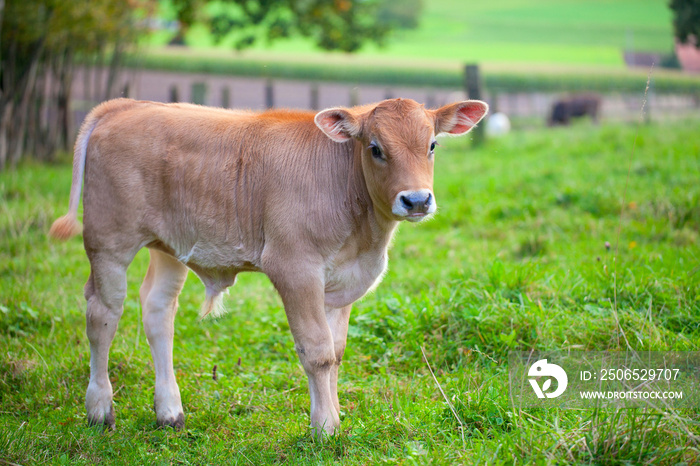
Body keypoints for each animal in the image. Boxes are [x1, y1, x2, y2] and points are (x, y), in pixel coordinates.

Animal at [50, 96, 486, 436]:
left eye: (432, 145)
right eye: (376, 148)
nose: (416, 200)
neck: (363, 234)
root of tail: (125, 105)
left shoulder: (341, 281)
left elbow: (336, 351)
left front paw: (334, 415)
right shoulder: (295, 268)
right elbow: (317, 351)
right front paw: (325, 428)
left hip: (170, 247)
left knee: (158, 311)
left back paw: (169, 412)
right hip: (109, 242)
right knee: (102, 315)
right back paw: (99, 410)